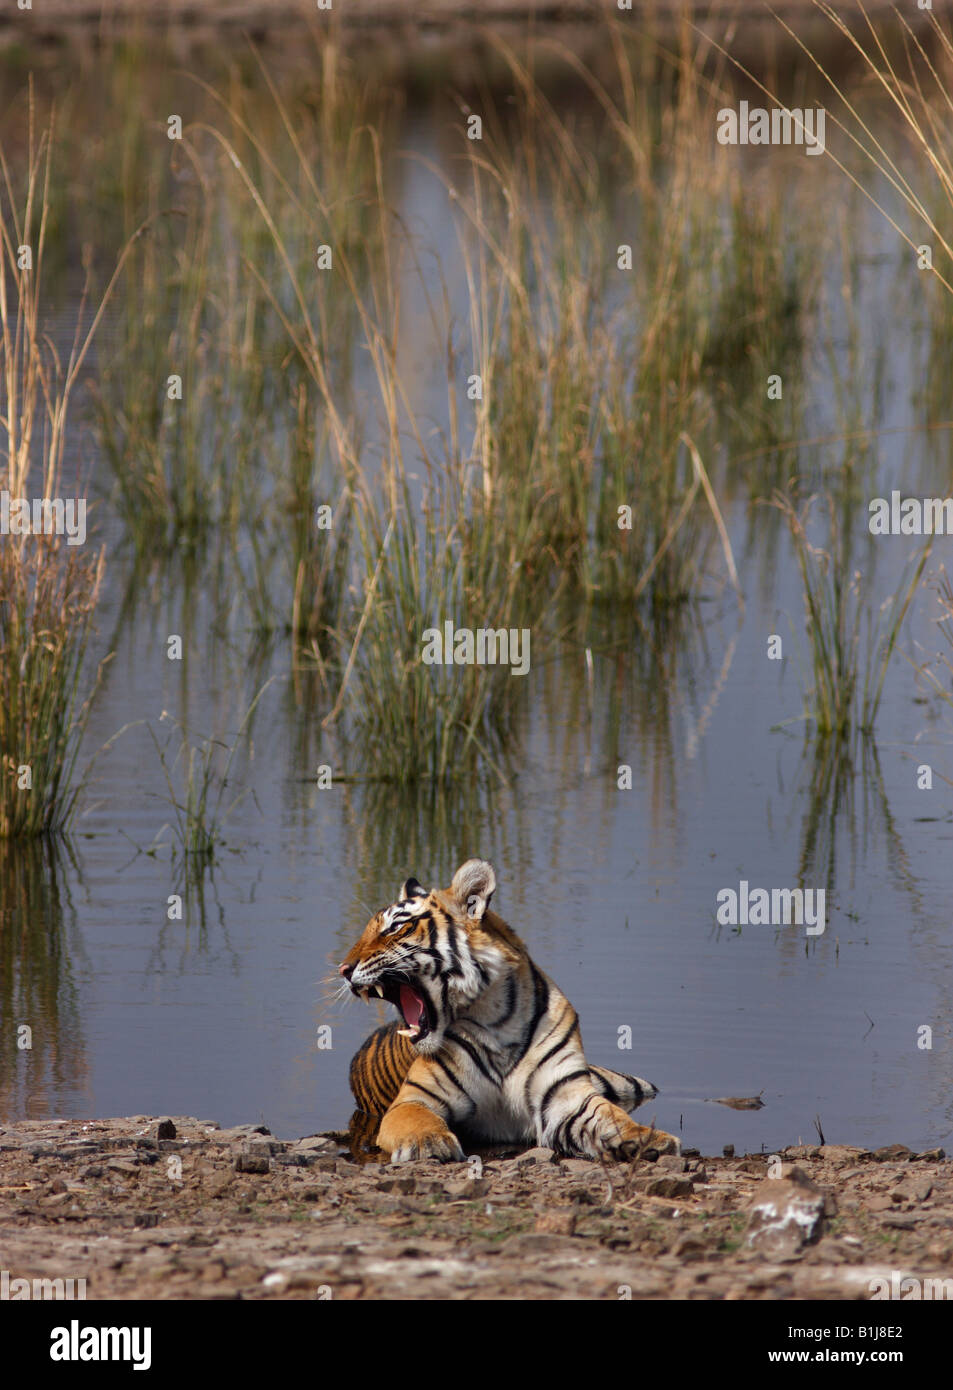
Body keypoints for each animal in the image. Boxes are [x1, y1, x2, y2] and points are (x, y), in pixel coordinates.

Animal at [340, 856, 683, 1162]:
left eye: (396, 927)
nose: (343, 969)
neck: (496, 1021)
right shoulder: (415, 1099)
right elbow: (417, 1119)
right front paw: (428, 1143)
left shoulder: (566, 1097)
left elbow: (612, 1117)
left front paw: (649, 1139)